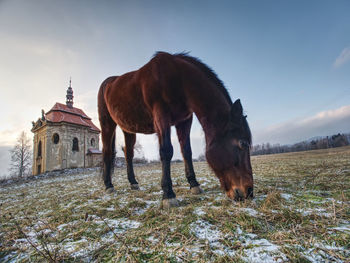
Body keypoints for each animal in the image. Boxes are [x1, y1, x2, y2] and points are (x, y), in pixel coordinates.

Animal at [97, 51, 253, 208]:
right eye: (243, 143)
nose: (249, 192)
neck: (179, 78)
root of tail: (108, 83)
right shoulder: (161, 116)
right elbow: (166, 151)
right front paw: (168, 194)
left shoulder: (184, 121)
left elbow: (186, 151)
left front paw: (194, 184)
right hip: (107, 124)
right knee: (107, 152)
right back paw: (108, 185)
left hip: (128, 129)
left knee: (128, 153)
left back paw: (133, 183)